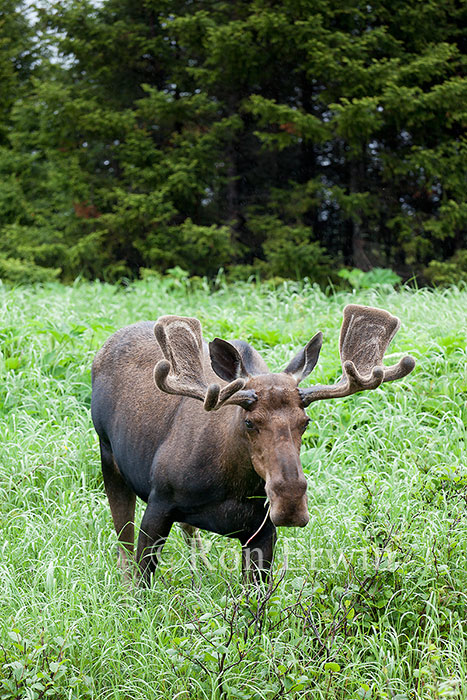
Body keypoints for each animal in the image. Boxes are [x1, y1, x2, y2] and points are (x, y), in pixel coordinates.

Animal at [91, 304, 416, 584]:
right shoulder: (159, 503)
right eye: (249, 422)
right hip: (108, 454)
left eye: (305, 421)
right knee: (123, 543)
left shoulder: (262, 531)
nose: (290, 501)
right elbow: (141, 581)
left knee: (189, 531)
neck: (232, 486)